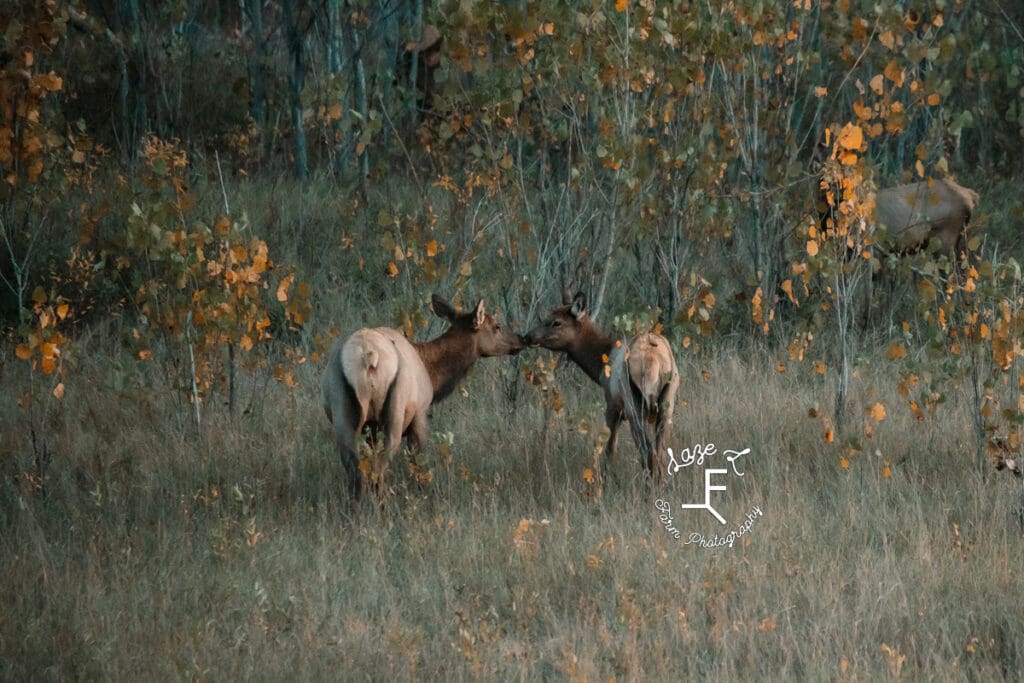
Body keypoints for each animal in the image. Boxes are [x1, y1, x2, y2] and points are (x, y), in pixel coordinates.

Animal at [321, 294, 528, 497]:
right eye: (497, 326)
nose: (521, 339)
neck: (432, 373)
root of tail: (369, 357)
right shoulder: (420, 413)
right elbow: (418, 462)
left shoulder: (370, 428)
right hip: (394, 412)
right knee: (380, 468)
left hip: (343, 412)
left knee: (356, 470)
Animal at [528, 290, 679, 479]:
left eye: (557, 322)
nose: (528, 336)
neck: (600, 367)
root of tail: (654, 362)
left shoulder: (613, 406)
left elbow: (610, 450)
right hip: (667, 403)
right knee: (661, 455)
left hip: (633, 404)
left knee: (648, 453)